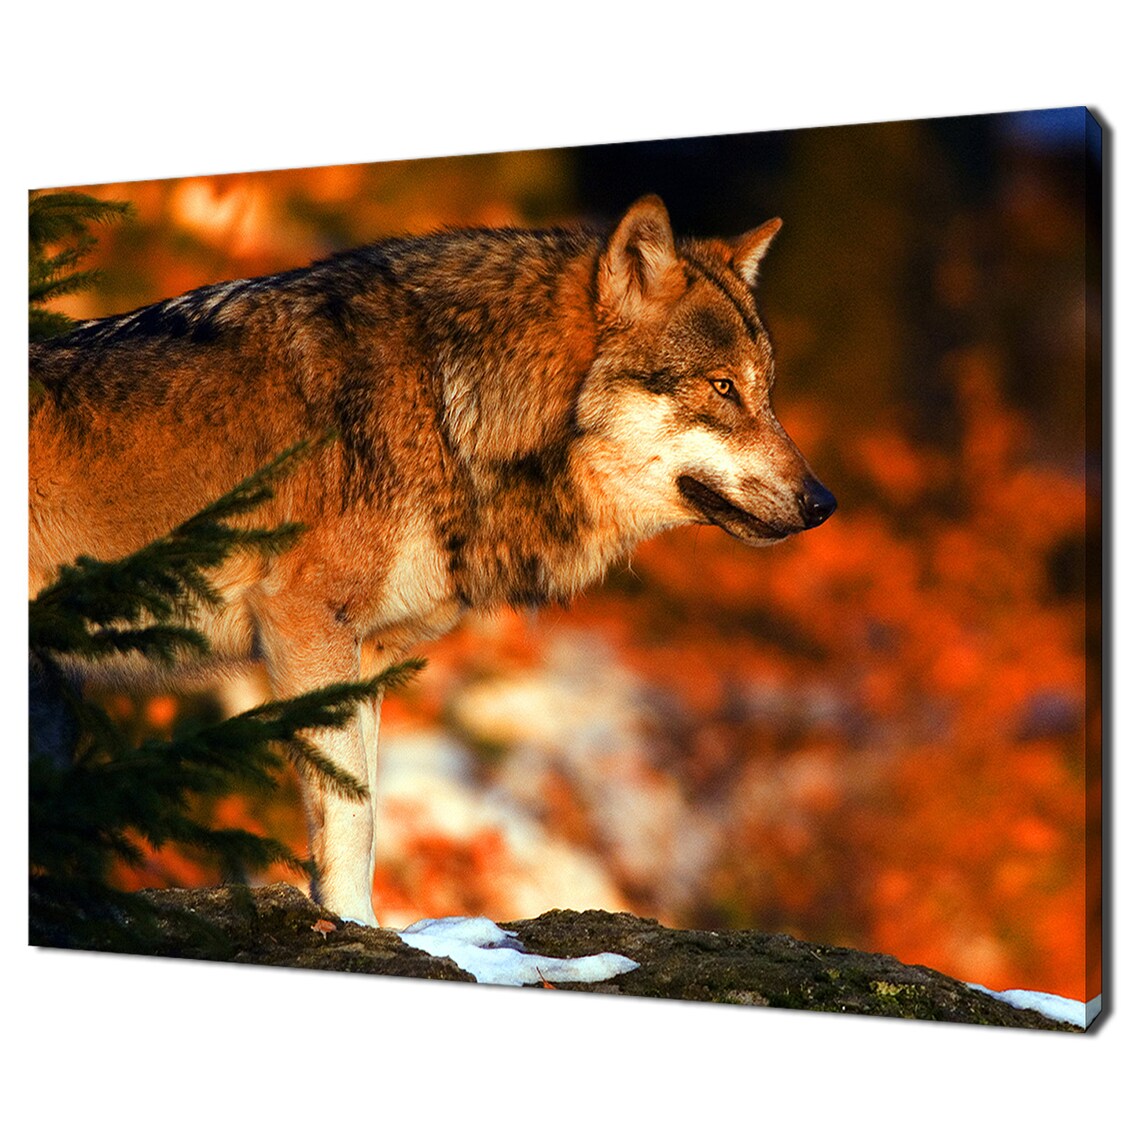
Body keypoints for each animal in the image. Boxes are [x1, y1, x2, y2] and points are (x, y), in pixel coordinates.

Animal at [29, 195, 836, 926]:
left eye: (765, 393)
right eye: (722, 388)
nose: (823, 502)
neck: (451, 406)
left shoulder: (364, 656)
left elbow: (366, 806)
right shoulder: (304, 624)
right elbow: (352, 813)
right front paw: (355, 925)